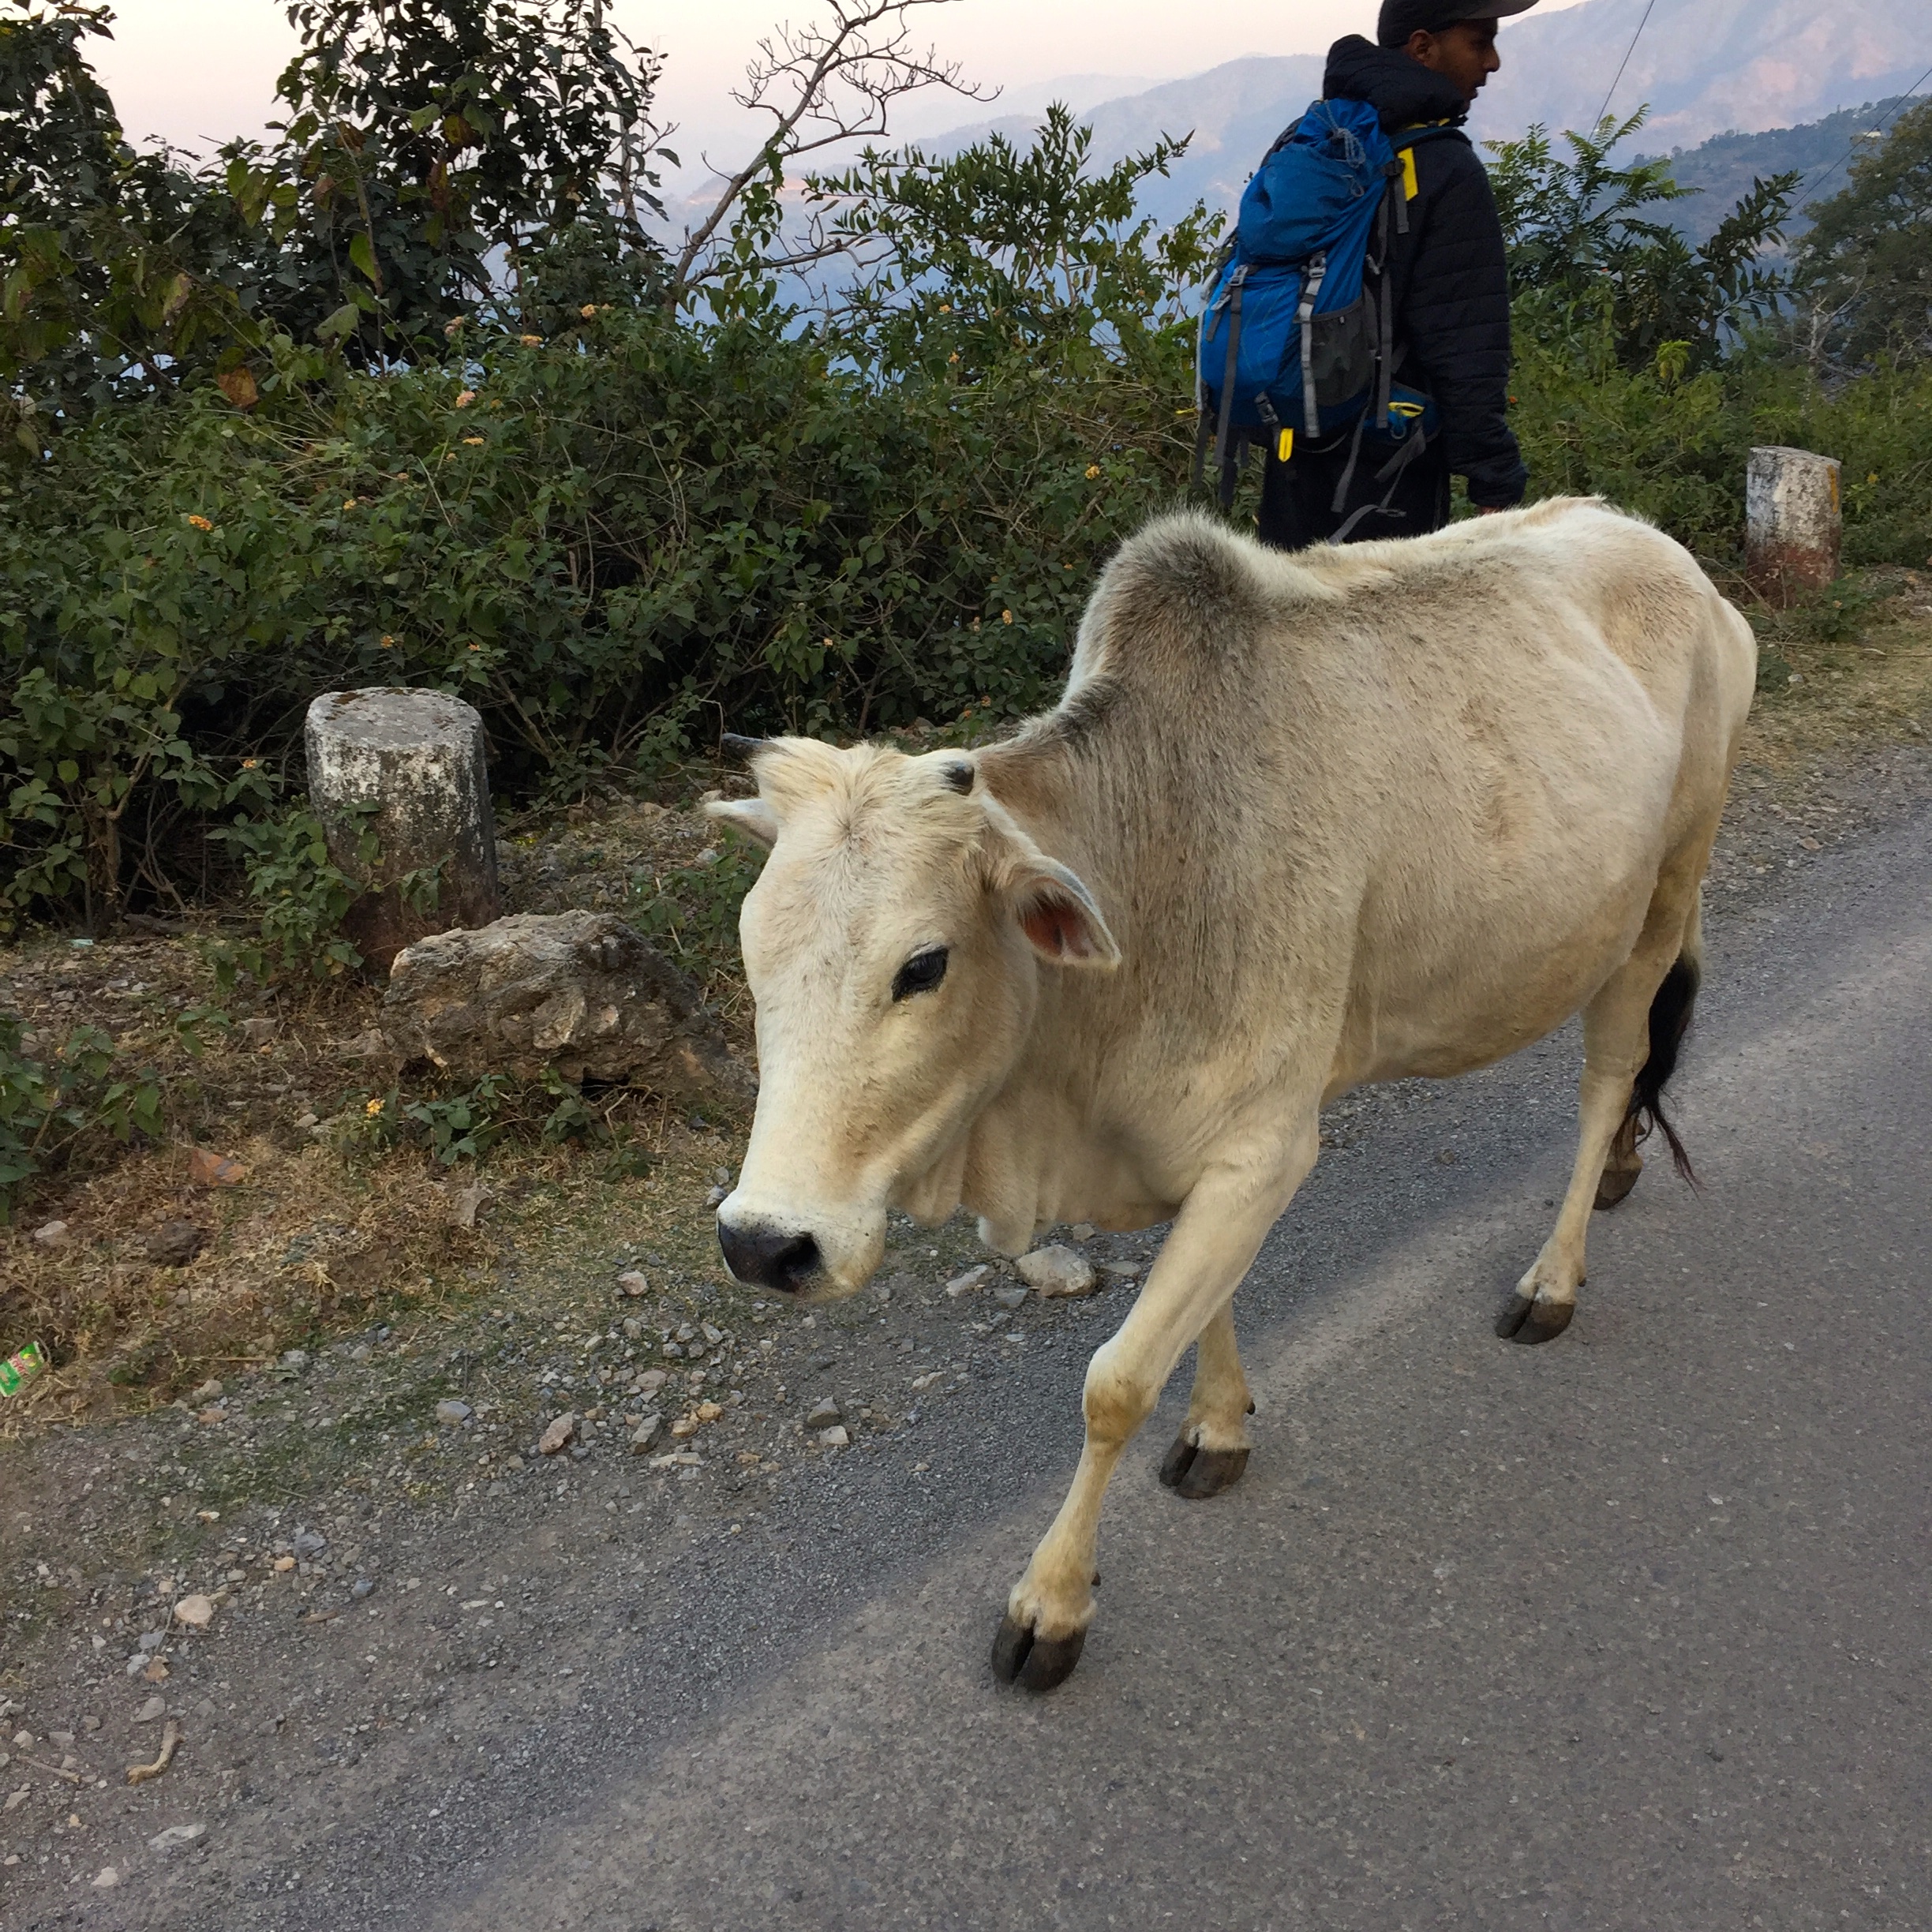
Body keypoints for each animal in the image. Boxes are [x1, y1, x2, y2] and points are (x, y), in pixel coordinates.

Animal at [707, 499, 1757, 1692]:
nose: (763, 1244)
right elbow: (1198, 1317)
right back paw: (1625, 1167)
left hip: (1665, 892)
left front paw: (1052, 1605)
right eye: (751, 946)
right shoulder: (1188, 1158)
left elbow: (1115, 1383)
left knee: (1609, 1074)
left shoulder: (1266, 1150)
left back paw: (1555, 1277)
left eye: (922, 965)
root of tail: (1671, 558)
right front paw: (1218, 1428)